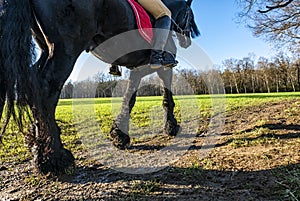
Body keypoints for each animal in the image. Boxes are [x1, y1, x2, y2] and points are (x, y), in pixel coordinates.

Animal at [0, 0, 199, 173]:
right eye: (190, 15)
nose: (187, 41)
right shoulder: (159, 67)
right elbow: (165, 97)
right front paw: (171, 126)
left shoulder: (137, 67)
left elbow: (129, 97)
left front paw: (119, 134)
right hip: (65, 50)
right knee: (46, 88)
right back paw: (55, 158)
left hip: (46, 48)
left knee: (34, 85)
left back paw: (39, 151)